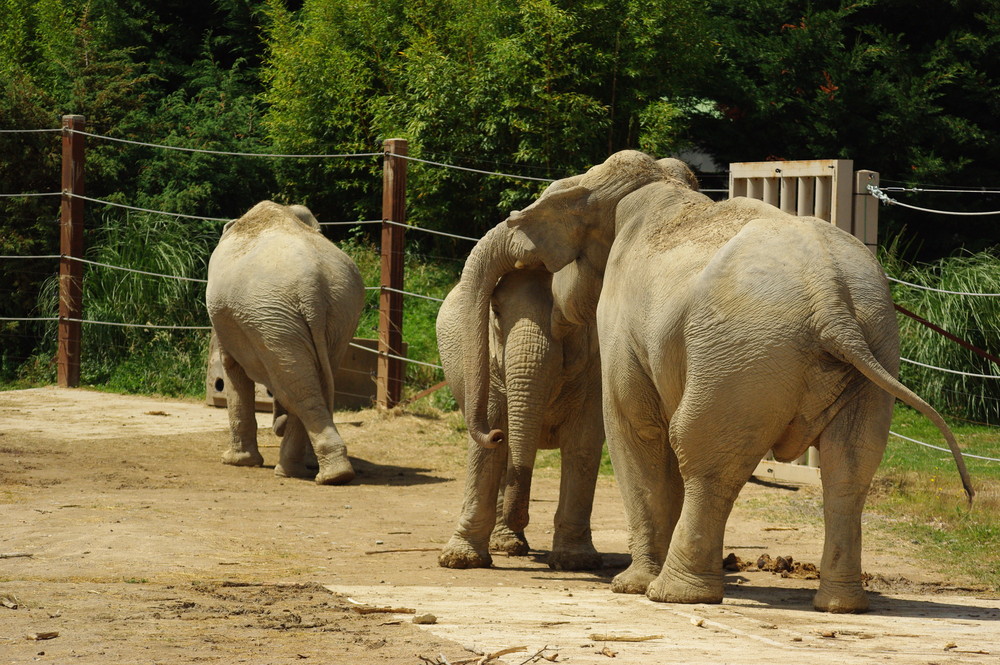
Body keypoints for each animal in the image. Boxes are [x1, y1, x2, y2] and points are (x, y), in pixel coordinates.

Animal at [205, 200, 366, 486]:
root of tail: (313, 287)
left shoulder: (224, 322)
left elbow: (233, 369)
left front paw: (235, 462)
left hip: (272, 317)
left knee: (296, 387)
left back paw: (317, 474)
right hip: (339, 312)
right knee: (310, 383)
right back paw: (321, 473)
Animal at [440, 184, 608, 568]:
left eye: (567, 323)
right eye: (497, 313)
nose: (498, 435)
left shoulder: (598, 367)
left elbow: (584, 441)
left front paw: (575, 562)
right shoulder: (490, 368)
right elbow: (488, 443)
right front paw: (460, 560)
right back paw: (508, 545)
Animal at [458, 149, 972, 612]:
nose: (495, 433)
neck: (654, 189)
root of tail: (830, 298)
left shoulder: (622, 324)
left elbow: (635, 430)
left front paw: (629, 586)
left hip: (742, 355)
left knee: (703, 454)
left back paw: (673, 594)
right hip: (871, 348)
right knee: (849, 465)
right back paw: (840, 606)